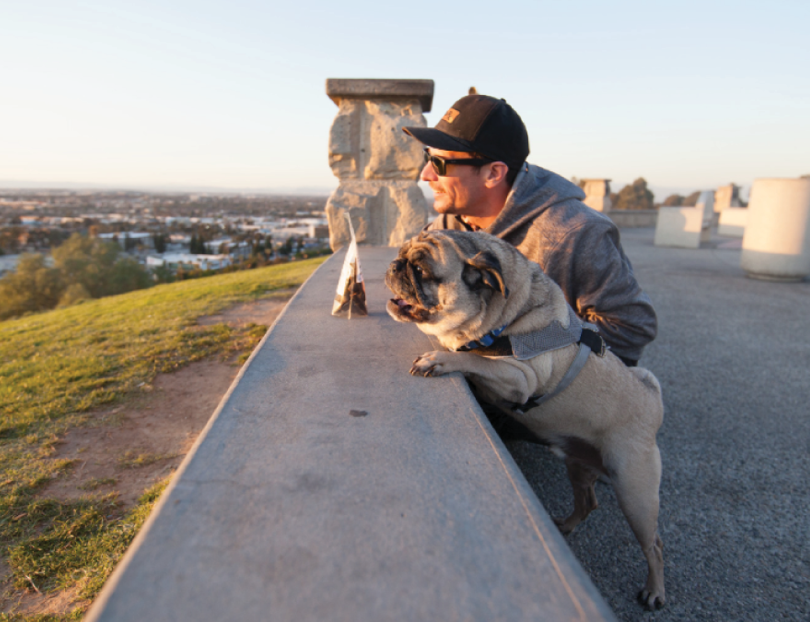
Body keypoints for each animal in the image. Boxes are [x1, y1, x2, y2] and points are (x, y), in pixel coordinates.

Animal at [386, 232, 664, 612]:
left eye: (421, 270)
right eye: (401, 255)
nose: (394, 265)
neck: (503, 318)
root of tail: (654, 405)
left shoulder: (520, 379)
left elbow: (475, 360)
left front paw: (440, 358)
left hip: (635, 494)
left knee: (654, 546)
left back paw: (655, 590)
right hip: (578, 464)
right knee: (587, 502)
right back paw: (565, 524)